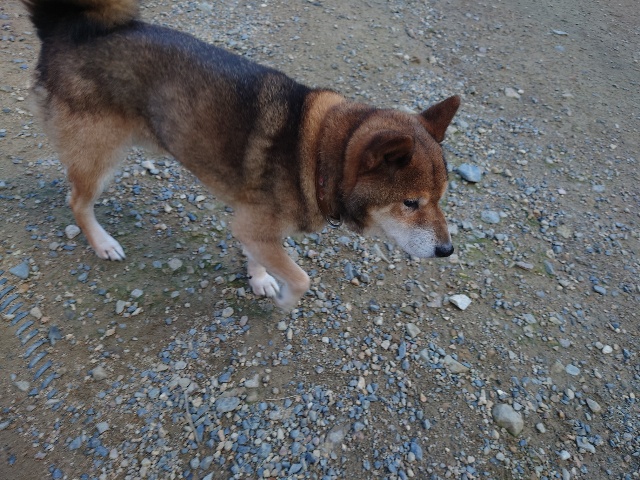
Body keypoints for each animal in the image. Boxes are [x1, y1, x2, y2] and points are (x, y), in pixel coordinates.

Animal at [23, 0, 460, 311]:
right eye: (411, 203)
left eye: (440, 199)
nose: (447, 251)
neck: (317, 156)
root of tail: (63, 30)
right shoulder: (253, 225)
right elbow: (301, 278)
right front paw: (284, 297)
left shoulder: (256, 226)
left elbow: (260, 257)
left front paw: (260, 278)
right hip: (101, 157)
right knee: (77, 201)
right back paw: (102, 243)